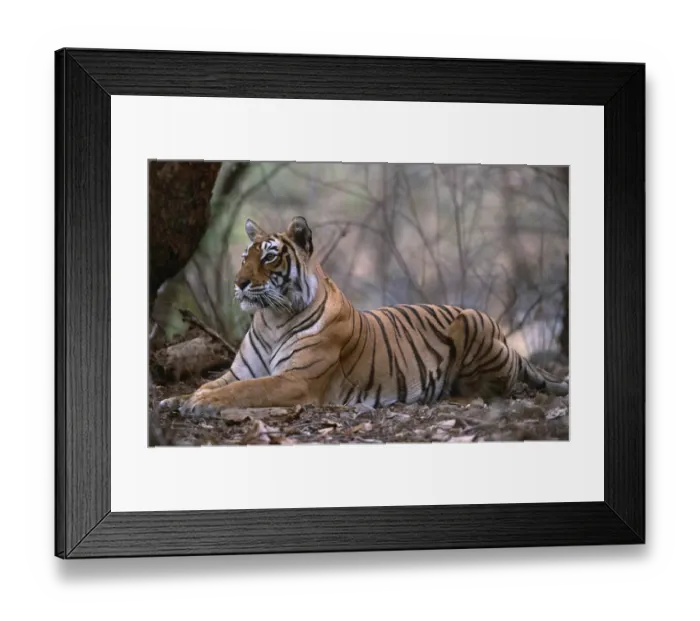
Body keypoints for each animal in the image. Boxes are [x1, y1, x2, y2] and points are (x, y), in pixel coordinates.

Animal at [164, 216, 568, 417]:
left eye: (269, 256)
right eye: (244, 256)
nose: (239, 283)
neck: (271, 319)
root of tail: (507, 341)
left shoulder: (296, 379)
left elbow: (245, 390)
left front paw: (201, 404)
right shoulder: (238, 370)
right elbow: (215, 383)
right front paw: (178, 400)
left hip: (471, 322)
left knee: (488, 390)